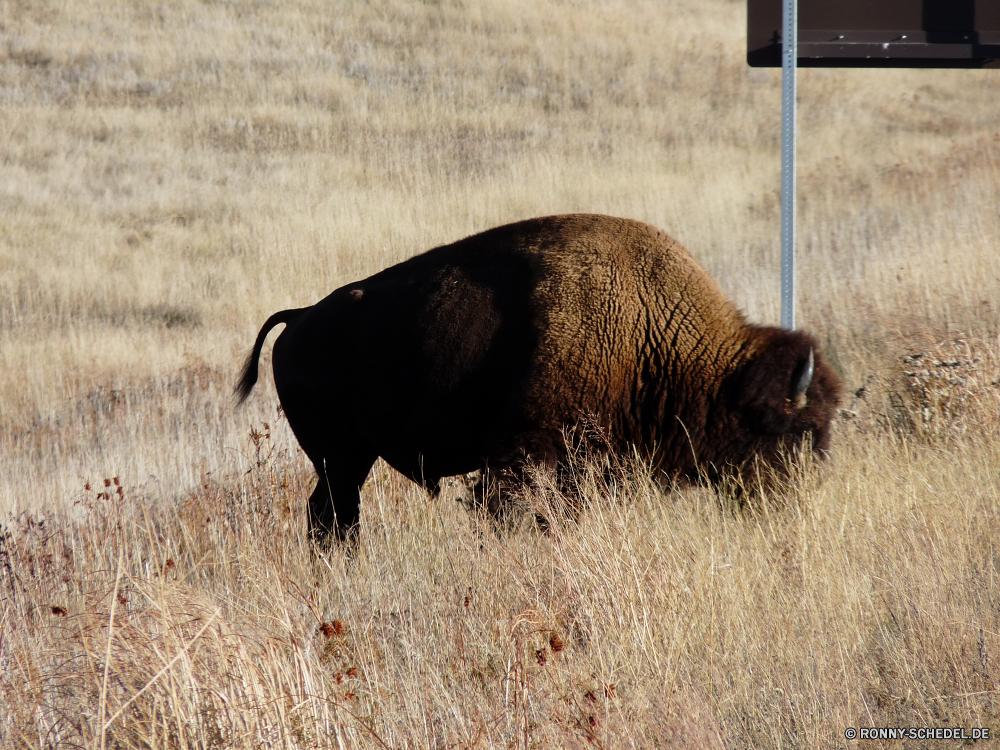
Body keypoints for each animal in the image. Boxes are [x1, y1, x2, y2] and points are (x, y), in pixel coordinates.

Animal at [238, 214, 840, 544]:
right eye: (788, 431)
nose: (795, 503)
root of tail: (300, 318)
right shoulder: (523, 458)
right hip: (340, 458)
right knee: (333, 515)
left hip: (349, 458)